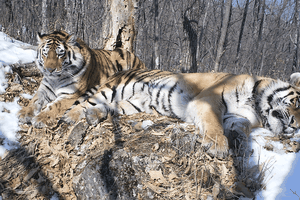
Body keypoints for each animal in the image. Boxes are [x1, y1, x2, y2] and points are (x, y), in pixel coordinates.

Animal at [18, 30, 146, 129]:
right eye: (45, 53)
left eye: (60, 54)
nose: (49, 70)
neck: (56, 79)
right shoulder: (44, 89)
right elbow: (34, 101)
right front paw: (24, 114)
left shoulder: (71, 94)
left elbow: (54, 106)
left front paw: (39, 119)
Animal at [62, 69, 300, 158]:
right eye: (298, 102)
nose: (296, 126)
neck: (256, 106)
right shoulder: (209, 100)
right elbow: (213, 125)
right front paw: (218, 146)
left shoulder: (238, 117)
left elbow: (241, 128)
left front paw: (240, 144)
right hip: (114, 89)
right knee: (84, 103)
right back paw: (70, 117)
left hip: (132, 105)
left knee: (108, 108)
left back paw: (93, 116)